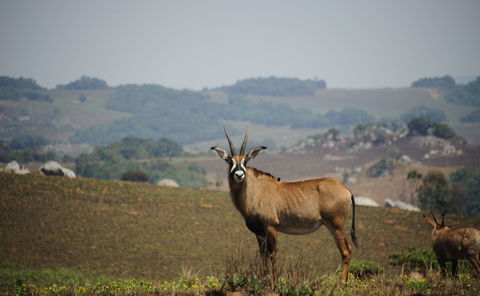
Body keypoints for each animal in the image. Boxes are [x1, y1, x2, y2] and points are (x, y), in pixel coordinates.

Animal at [210, 128, 356, 286]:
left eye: (245, 161)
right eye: (230, 161)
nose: (239, 175)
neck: (255, 191)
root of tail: (346, 190)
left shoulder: (272, 227)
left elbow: (272, 254)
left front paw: (273, 282)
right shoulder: (259, 232)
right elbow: (263, 255)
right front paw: (263, 279)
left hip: (335, 225)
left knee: (345, 250)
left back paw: (341, 283)